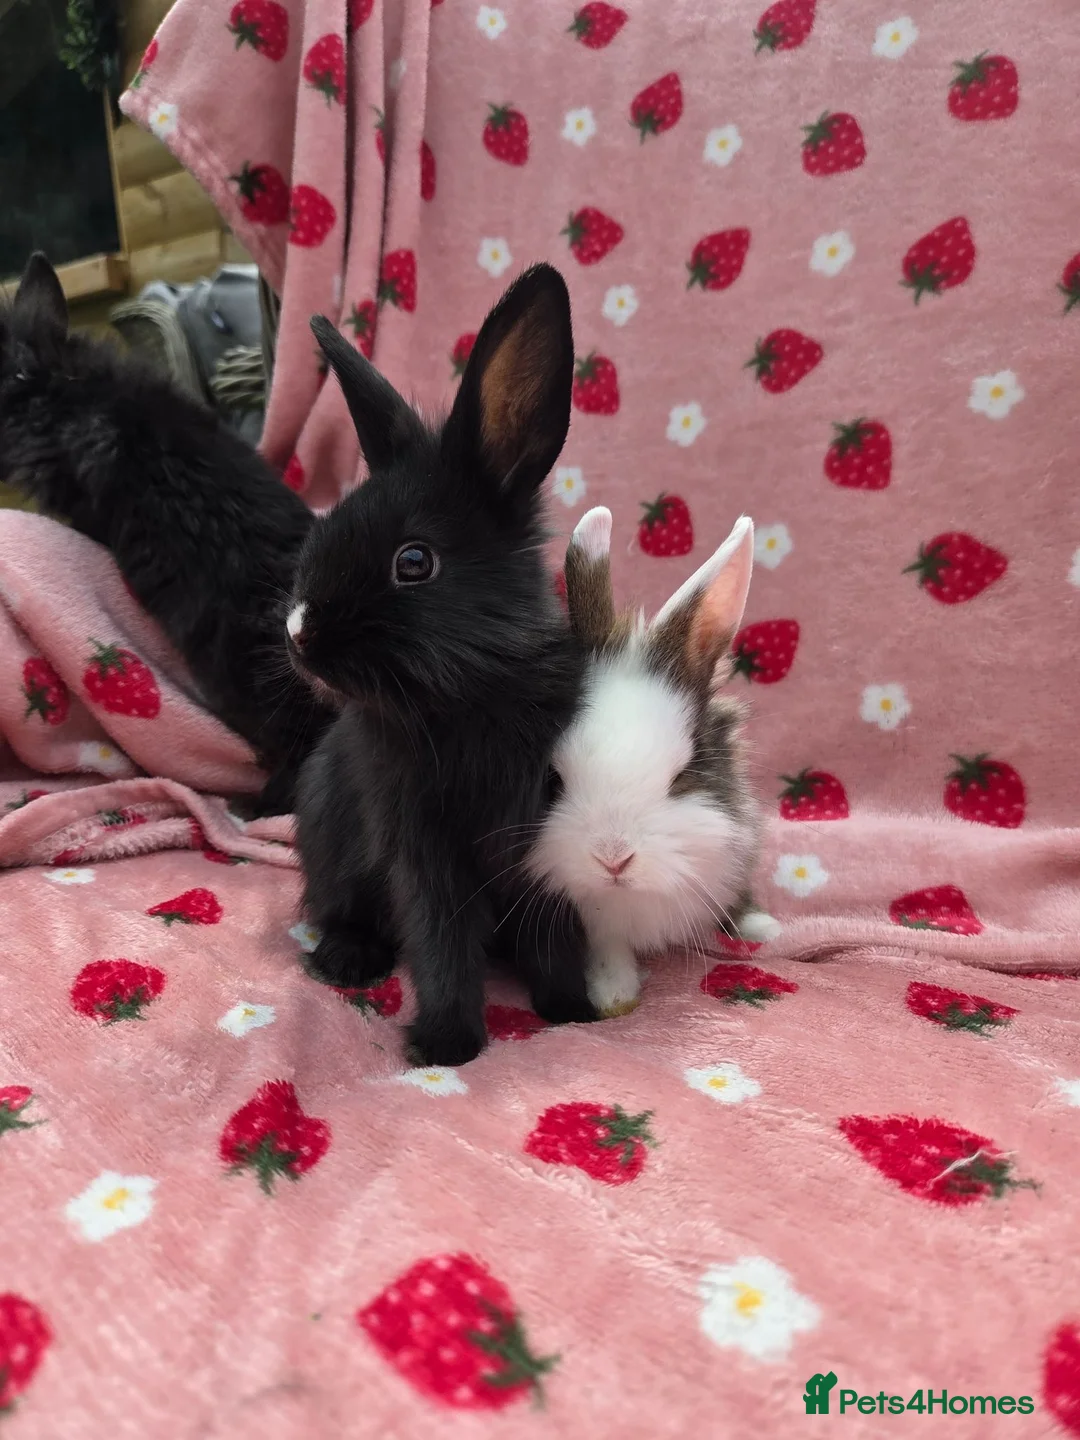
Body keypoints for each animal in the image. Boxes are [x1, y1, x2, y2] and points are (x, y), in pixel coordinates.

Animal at [288, 263, 598, 1067]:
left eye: (414, 561)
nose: (299, 633)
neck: (468, 700)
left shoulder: (546, 838)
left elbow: (554, 929)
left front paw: (573, 1011)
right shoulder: (421, 850)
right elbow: (440, 941)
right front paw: (448, 1044)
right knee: (336, 909)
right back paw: (347, 961)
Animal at [525, 505, 781, 1018]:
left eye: (682, 776)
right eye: (553, 780)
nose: (613, 858)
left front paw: (764, 927)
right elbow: (609, 952)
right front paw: (614, 997)